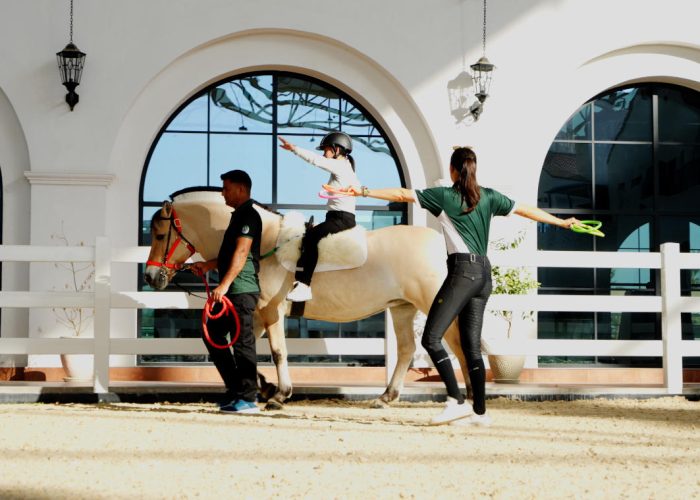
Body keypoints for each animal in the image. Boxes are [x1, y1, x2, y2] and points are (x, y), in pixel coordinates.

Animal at [144, 188, 470, 410]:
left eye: (159, 235)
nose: (150, 276)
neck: (263, 240)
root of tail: (439, 244)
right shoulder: (257, 314)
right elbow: (242, 350)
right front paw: (263, 386)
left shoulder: (272, 311)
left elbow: (277, 351)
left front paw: (279, 394)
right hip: (402, 308)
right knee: (406, 349)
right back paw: (386, 396)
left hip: (430, 302)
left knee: (456, 343)